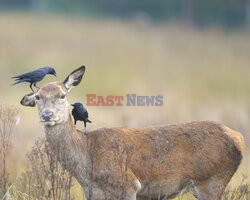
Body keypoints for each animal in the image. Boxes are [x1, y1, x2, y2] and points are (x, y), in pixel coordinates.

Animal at [20, 66, 244, 200]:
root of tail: (239, 138)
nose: (47, 115)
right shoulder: (92, 194)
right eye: (38, 97)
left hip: (212, 181)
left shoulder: (128, 185)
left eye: (62, 95)